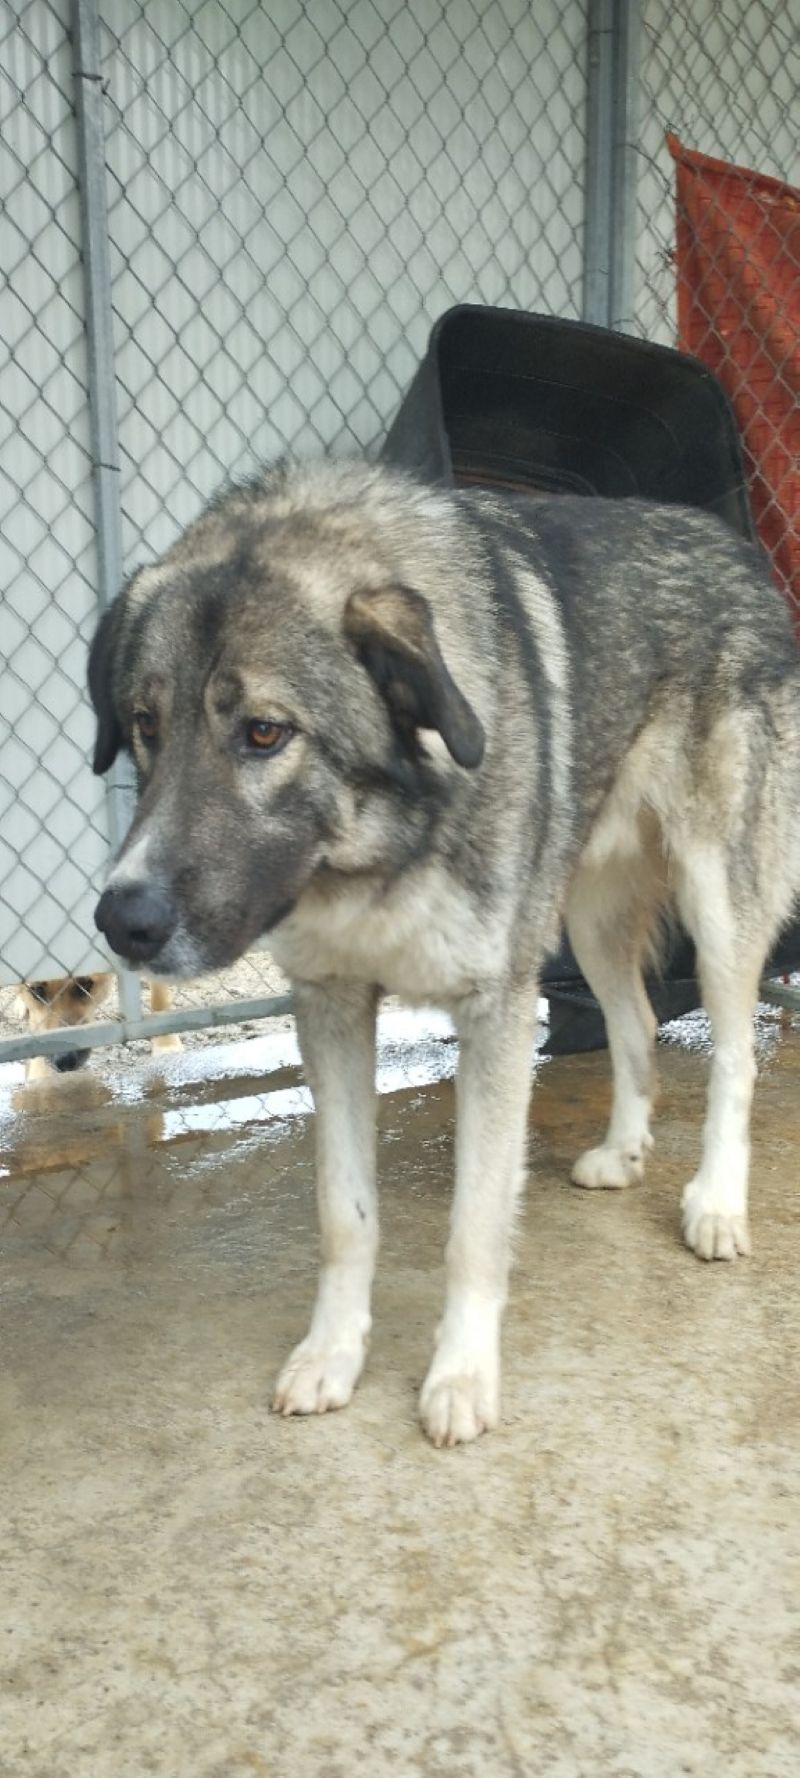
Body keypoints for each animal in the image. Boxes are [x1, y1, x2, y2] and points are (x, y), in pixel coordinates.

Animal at [86, 460, 800, 1444]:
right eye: (144, 725)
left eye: (265, 732)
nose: (122, 921)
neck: (382, 846)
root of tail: (739, 550)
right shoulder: (331, 1006)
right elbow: (345, 1214)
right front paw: (332, 1356)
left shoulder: (496, 1010)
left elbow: (475, 1225)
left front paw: (461, 1377)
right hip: (585, 920)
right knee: (637, 1024)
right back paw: (623, 1152)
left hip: (717, 901)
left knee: (734, 1054)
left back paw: (718, 1204)